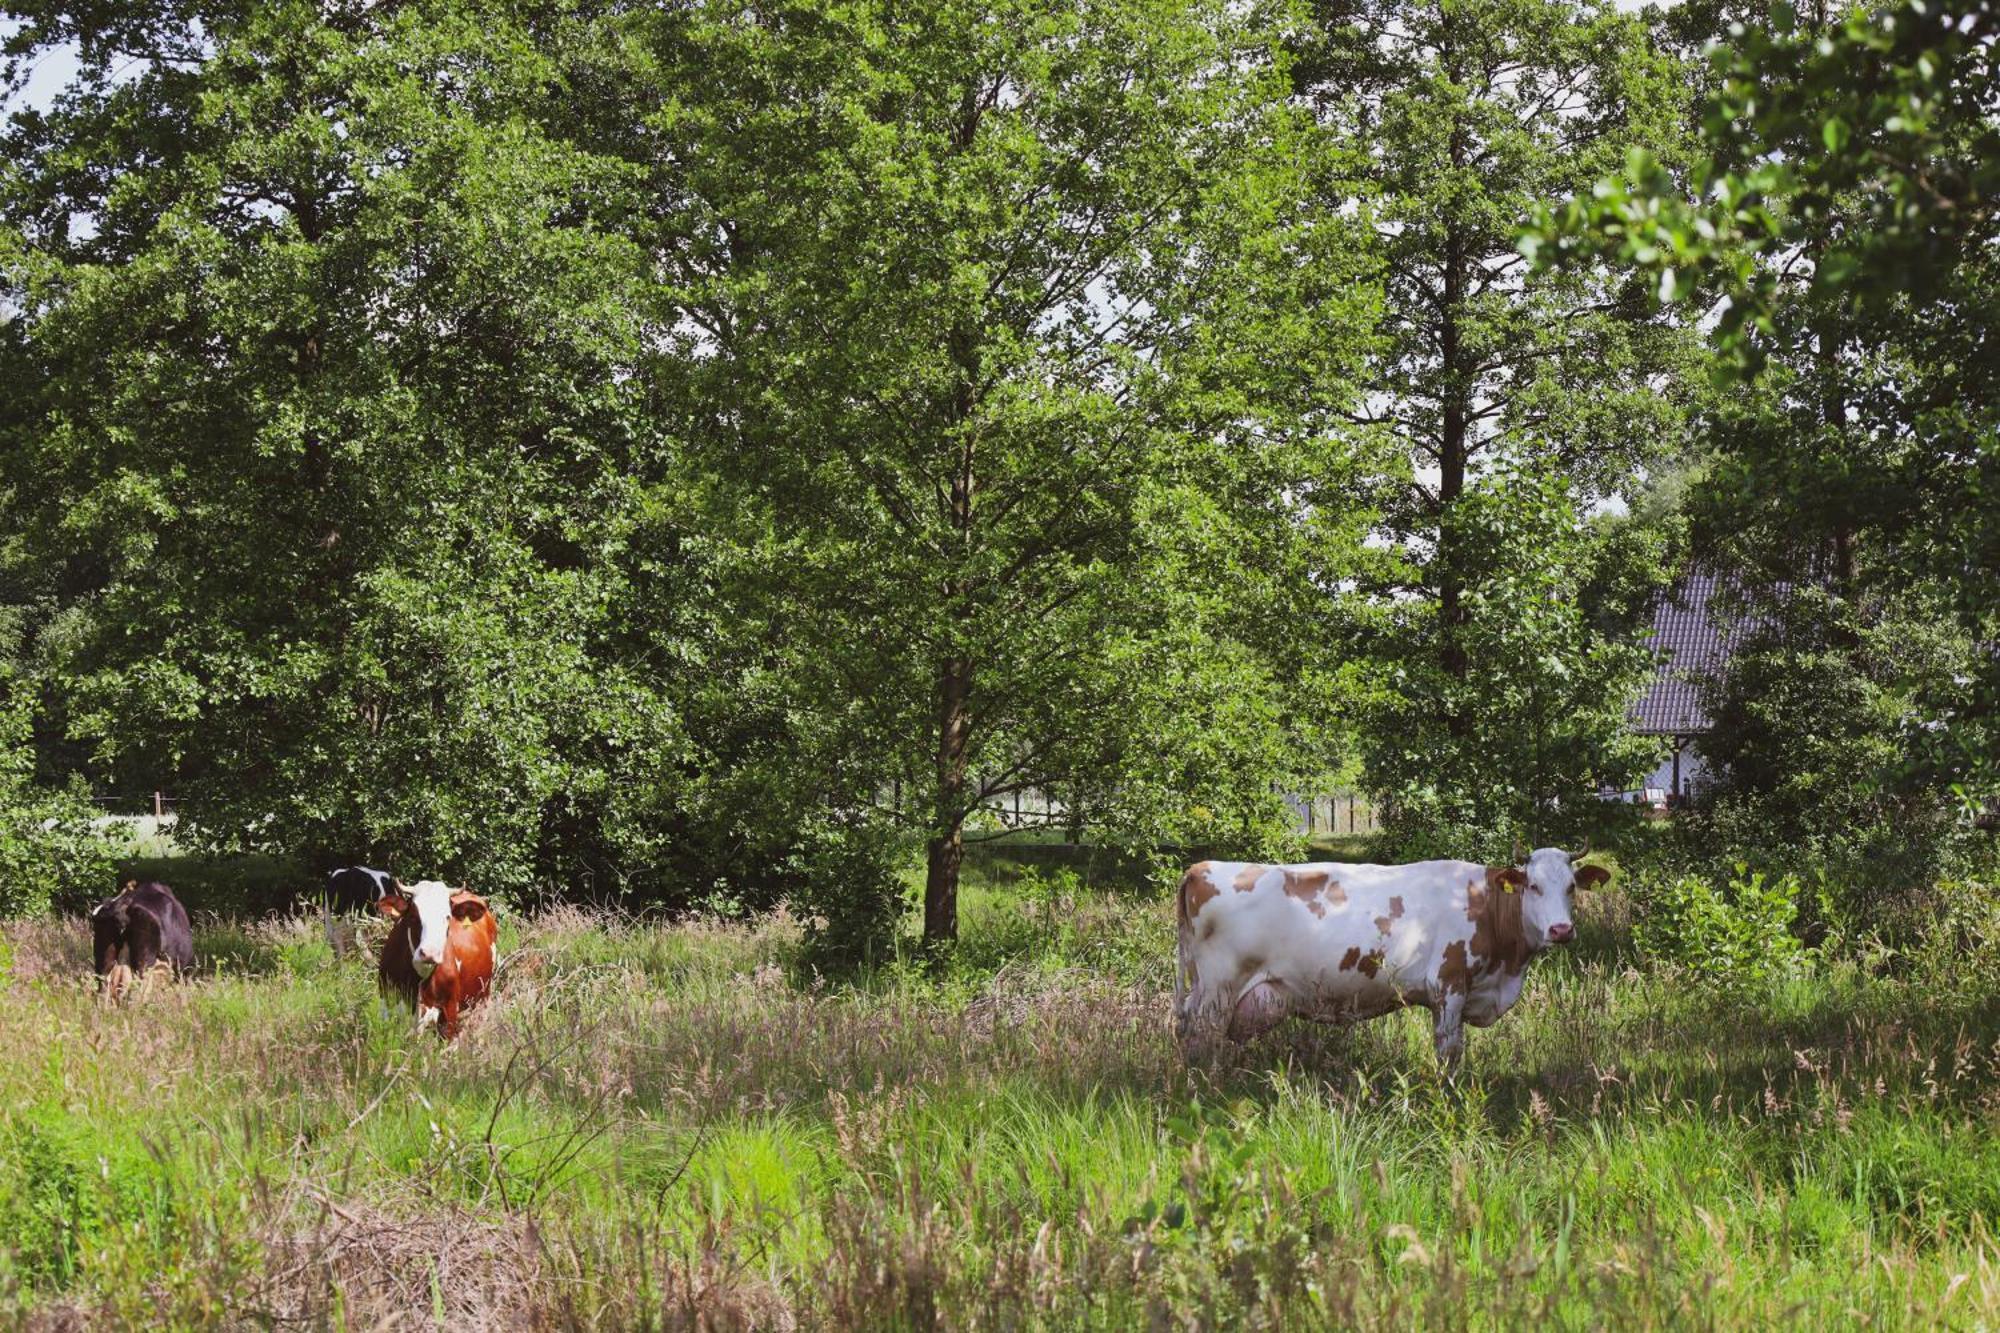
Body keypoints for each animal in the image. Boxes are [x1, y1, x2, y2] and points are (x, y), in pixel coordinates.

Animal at [1168, 840, 1608, 1072]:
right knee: (1200, 1036)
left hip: (1204, 988)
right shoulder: (1449, 986)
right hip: (1218, 990)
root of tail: (1201, 867)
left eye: (1571, 887)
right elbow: (1449, 1053)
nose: (1561, 930)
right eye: (1533, 886)